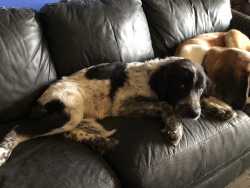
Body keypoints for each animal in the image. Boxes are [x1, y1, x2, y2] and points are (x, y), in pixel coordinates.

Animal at [0, 57, 234, 166]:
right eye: (181, 86)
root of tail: (39, 100)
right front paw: (174, 128)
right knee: (19, 129)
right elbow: (166, 105)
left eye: (200, 88)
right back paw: (4, 152)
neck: (152, 76)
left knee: (70, 133)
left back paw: (101, 142)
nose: (194, 114)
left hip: (75, 116)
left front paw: (220, 109)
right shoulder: (123, 104)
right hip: (69, 110)